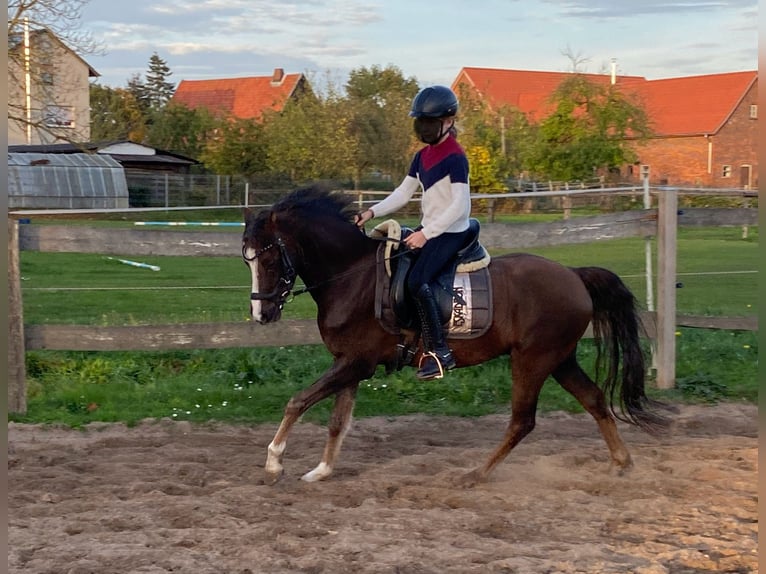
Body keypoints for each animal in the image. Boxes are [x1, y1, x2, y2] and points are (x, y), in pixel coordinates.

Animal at [243, 184, 668, 486]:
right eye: (247, 261)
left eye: (268, 258)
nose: (261, 313)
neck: (352, 276)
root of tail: (574, 275)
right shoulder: (350, 364)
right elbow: (336, 421)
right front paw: (322, 471)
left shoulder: (355, 362)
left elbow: (297, 402)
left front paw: (273, 462)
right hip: (559, 358)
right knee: (594, 400)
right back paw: (621, 463)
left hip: (532, 360)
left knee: (523, 421)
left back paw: (475, 475)